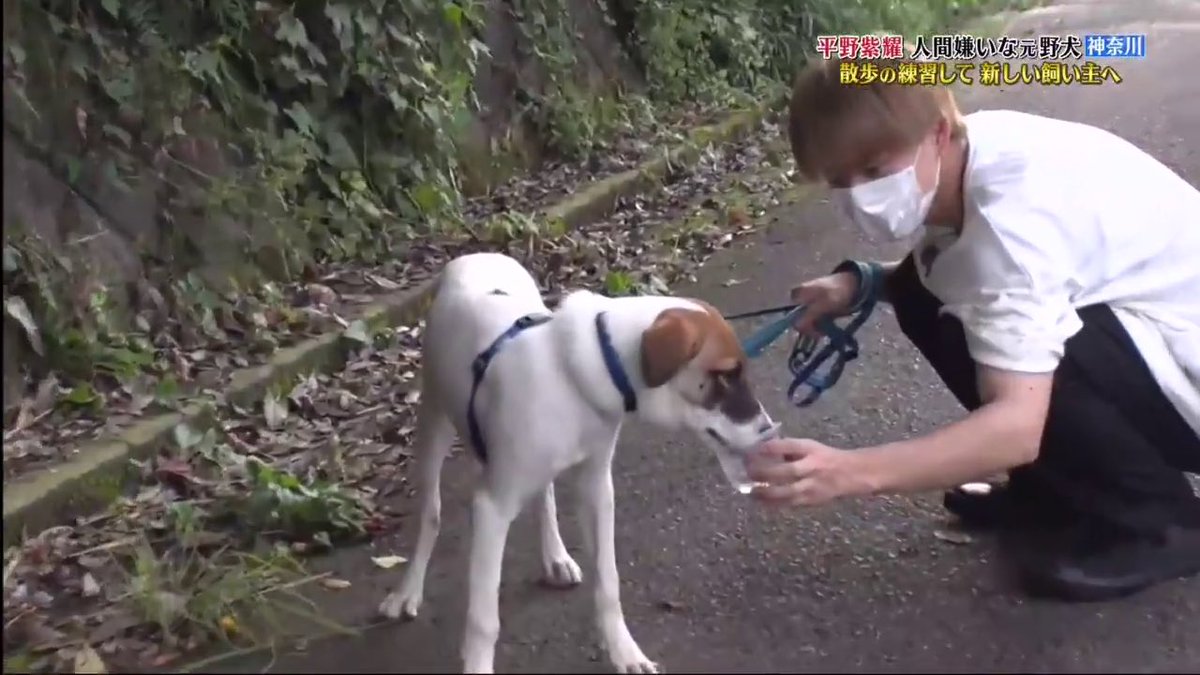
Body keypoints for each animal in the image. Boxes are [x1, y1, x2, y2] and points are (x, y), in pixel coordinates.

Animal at [379, 253, 782, 672]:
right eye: (726, 376)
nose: (769, 431)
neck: (574, 377)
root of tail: (476, 255)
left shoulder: (596, 488)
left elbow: (608, 582)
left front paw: (624, 652)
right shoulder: (492, 507)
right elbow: (483, 619)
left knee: (544, 495)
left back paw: (555, 557)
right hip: (433, 421)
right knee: (431, 513)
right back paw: (407, 591)